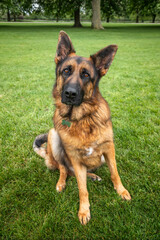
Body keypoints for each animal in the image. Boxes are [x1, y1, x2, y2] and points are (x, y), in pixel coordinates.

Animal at [33, 31, 131, 225]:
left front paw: (121, 191)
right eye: (66, 71)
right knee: (64, 169)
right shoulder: (75, 159)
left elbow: (114, 173)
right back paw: (62, 182)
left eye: (86, 75)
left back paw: (92, 176)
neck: (82, 119)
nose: (70, 94)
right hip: (54, 137)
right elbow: (81, 188)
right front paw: (84, 210)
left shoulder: (109, 148)